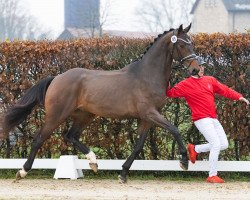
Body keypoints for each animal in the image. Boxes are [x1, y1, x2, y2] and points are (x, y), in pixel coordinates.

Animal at [0, 23, 200, 183]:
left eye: (192, 43)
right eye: (182, 44)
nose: (196, 70)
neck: (147, 75)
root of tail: (56, 78)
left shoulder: (147, 118)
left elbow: (138, 146)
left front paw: (123, 174)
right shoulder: (150, 113)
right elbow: (174, 129)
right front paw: (184, 161)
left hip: (85, 115)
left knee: (70, 135)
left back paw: (94, 162)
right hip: (56, 115)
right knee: (39, 139)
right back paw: (22, 172)